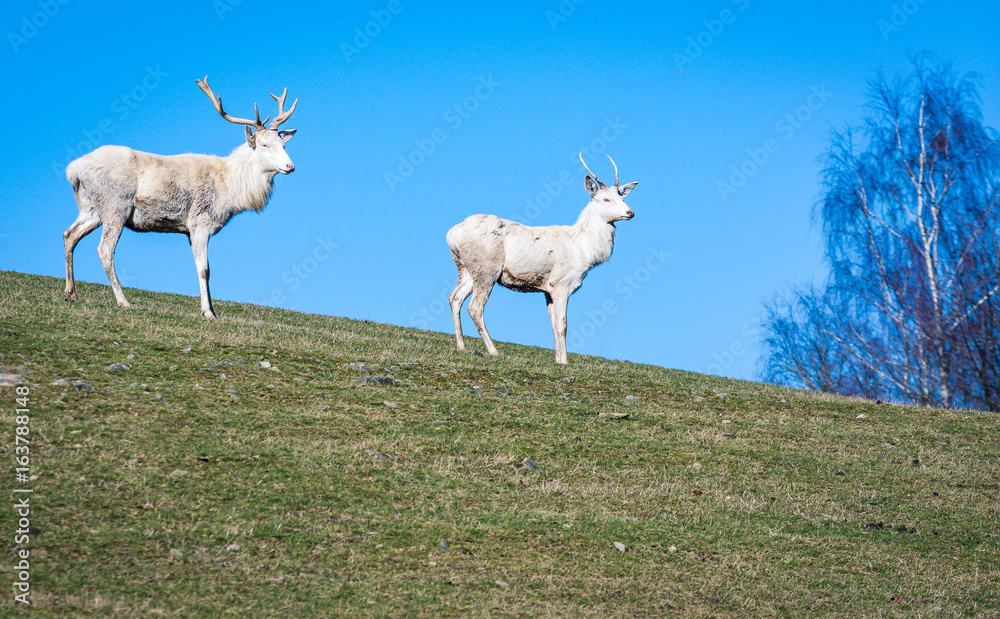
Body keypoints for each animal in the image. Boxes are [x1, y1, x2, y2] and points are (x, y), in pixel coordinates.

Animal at [63, 77, 297, 319]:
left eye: (284, 145)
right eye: (264, 144)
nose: (290, 166)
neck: (231, 190)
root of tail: (73, 169)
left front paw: (210, 309)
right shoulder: (200, 222)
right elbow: (204, 270)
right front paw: (208, 312)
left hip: (90, 207)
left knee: (69, 234)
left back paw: (71, 292)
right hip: (115, 206)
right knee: (104, 250)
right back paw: (123, 301)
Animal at [446, 154, 638, 364]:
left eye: (622, 196)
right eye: (606, 198)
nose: (630, 212)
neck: (584, 251)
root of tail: (452, 235)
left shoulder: (547, 289)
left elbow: (553, 324)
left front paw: (558, 360)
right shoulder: (562, 283)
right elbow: (563, 324)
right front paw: (565, 362)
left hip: (466, 268)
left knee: (454, 297)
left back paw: (461, 346)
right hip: (486, 268)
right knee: (475, 307)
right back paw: (493, 350)